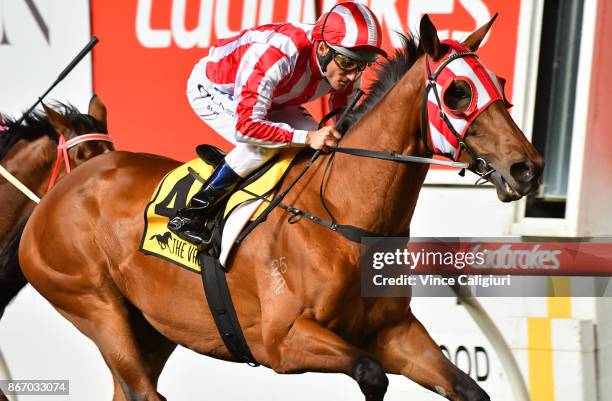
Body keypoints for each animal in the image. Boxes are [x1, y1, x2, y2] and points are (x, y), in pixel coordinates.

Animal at [15, 16, 540, 400]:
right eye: (458, 92)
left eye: (500, 82)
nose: (527, 168)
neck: (343, 218)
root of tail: (61, 191)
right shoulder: (283, 341)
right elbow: (371, 375)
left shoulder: (396, 333)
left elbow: (470, 391)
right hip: (95, 308)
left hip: (154, 326)